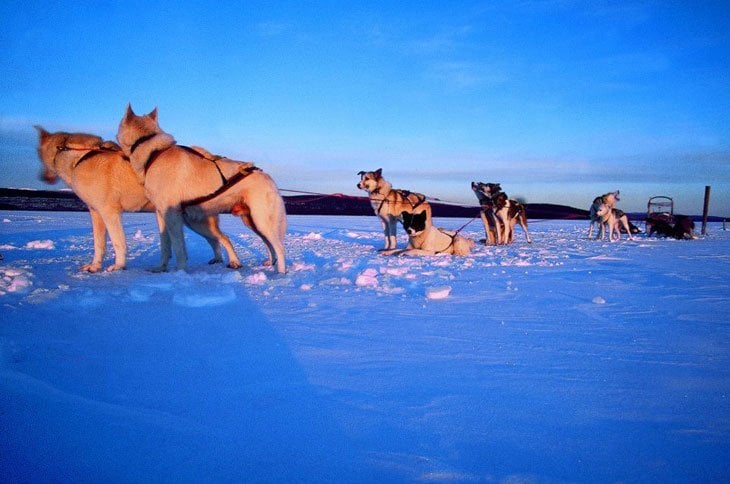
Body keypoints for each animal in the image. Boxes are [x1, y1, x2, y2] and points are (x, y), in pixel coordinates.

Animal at [34, 125, 236, 272]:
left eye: (38, 153)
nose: (42, 178)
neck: (80, 157)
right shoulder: (96, 213)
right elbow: (99, 244)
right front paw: (94, 267)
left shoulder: (110, 213)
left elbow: (118, 242)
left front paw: (118, 266)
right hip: (192, 221)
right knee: (215, 240)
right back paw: (217, 259)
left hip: (194, 221)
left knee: (224, 238)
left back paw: (233, 262)